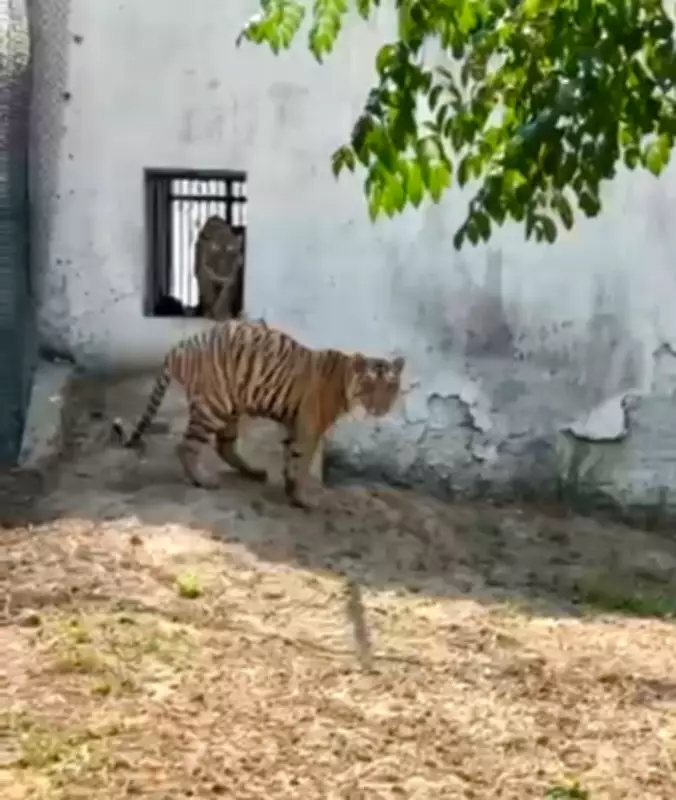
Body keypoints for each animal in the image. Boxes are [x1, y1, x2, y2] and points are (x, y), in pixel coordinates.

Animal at [111, 319, 405, 509]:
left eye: (390, 387)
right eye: (369, 387)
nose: (380, 409)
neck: (345, 383)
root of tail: (179, 347)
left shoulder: (294, 424)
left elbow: (290, 459)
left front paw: (291, 491)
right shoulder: (309, 428)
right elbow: (301, 462)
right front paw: (303, 498)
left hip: (230, 407)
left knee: (223, 445)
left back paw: (252, 472)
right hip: (213, 406)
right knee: (186, 446)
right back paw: (203, 481)